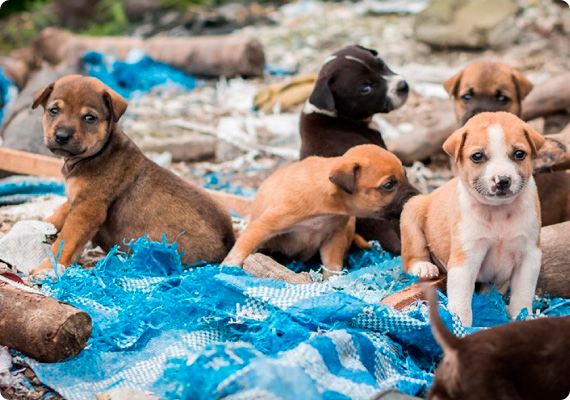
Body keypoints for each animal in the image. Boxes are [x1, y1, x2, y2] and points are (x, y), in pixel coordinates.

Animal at [30, 75, 234, 276]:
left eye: (89, 118)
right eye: (54, 110)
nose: (61, 136)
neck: (99, 153)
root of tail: (229, 241)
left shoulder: (87, 209)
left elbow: (65, 241)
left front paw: (48, 267)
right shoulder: (77, 200)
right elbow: (59, 213)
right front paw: (36, 224)